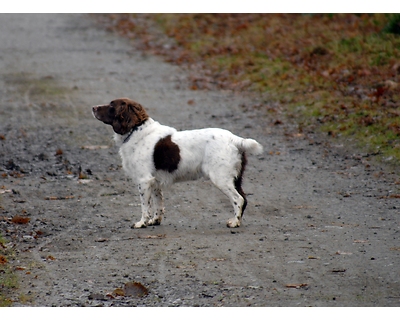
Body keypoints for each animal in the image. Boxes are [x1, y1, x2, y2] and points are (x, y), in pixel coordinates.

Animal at [92, 97, 264, 228]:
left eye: (111, 106)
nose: (93, 107)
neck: (135, 131)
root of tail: (234, 139)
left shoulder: (144, 180)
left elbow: (145, 206)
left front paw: (141, 223)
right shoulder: (154, 182)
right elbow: (158, 203)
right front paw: (155, 221)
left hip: (221, 178)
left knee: (238, 199)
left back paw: (234, 223)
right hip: (235, 178)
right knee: (244, 198)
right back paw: (237, 220)